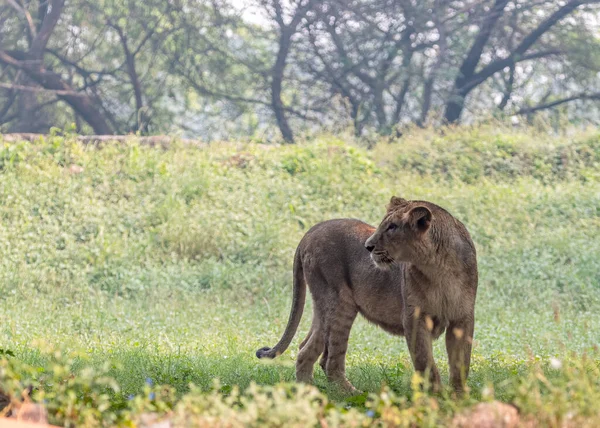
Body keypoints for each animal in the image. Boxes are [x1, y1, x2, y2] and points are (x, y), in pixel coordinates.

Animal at [256, 196, 478, 392]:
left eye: (392, 227)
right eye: (383, 225)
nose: (368, 246)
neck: (439, 268)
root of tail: (311, 231)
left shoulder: (463, 318)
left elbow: (461, 363)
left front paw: (458, 397)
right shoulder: (414, 318)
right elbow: (426, 363)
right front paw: (437, 397)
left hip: (323, 306)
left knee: (306, 349)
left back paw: (308, 394)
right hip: (338, 301)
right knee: (330, 361)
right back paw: (349, 394)